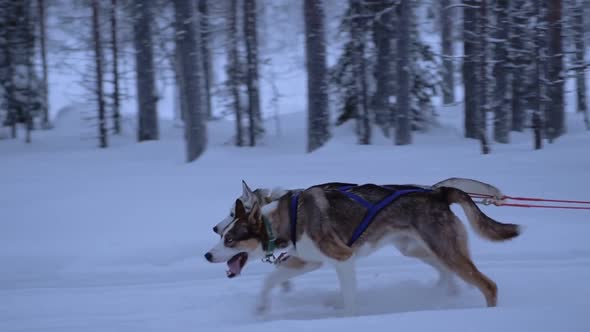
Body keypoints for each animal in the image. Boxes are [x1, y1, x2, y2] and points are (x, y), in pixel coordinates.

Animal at [206, 182, 520, 314]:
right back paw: (446, 294)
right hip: (421, 249)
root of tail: (438, 192)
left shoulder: (343, 258)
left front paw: (348, 316)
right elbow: (270, 280)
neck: (283, 219)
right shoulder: (308, 260)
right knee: (449, 273)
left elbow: (349, 299)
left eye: (230, 238)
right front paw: (260, 308)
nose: (207, 254)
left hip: (445, 250)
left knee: (488, 285)